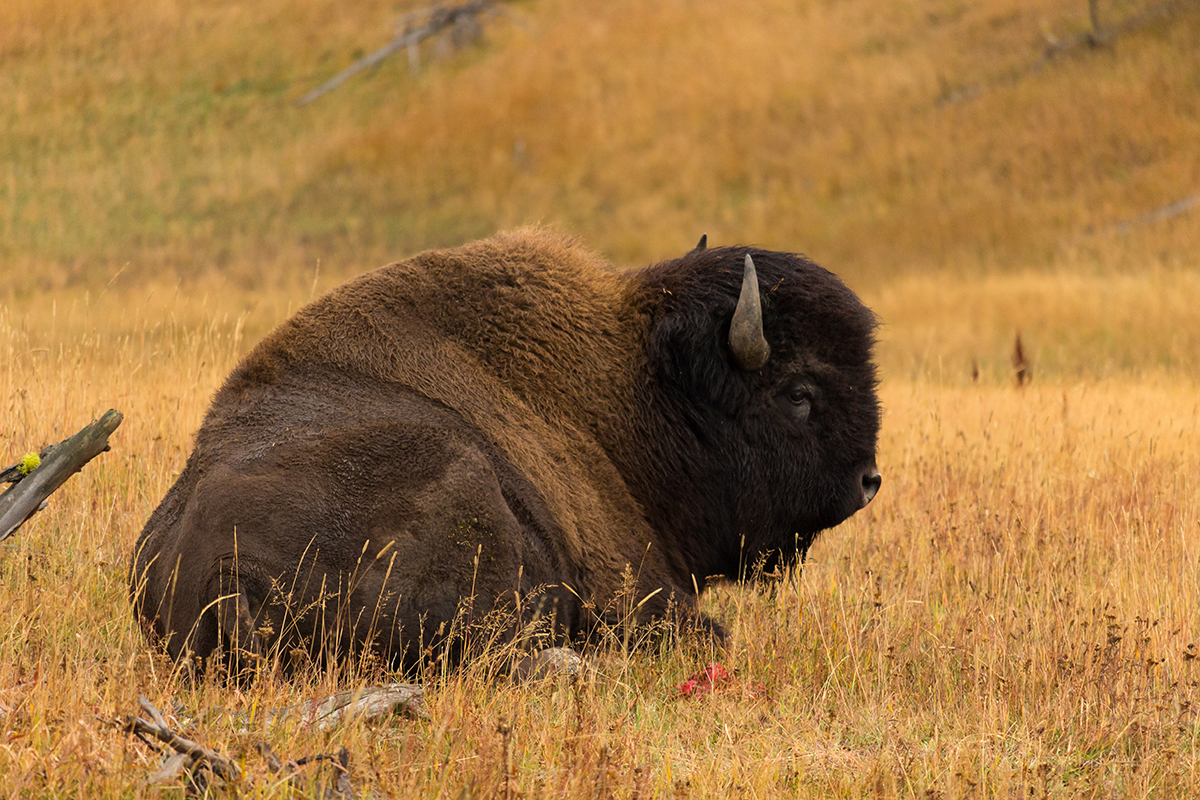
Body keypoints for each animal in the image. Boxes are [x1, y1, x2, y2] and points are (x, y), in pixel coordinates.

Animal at [129, 228, 881, 676]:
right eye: (799, 393)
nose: (868, 481)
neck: (638, 385)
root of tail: (226, 574)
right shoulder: (637, 584)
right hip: (464, 482)